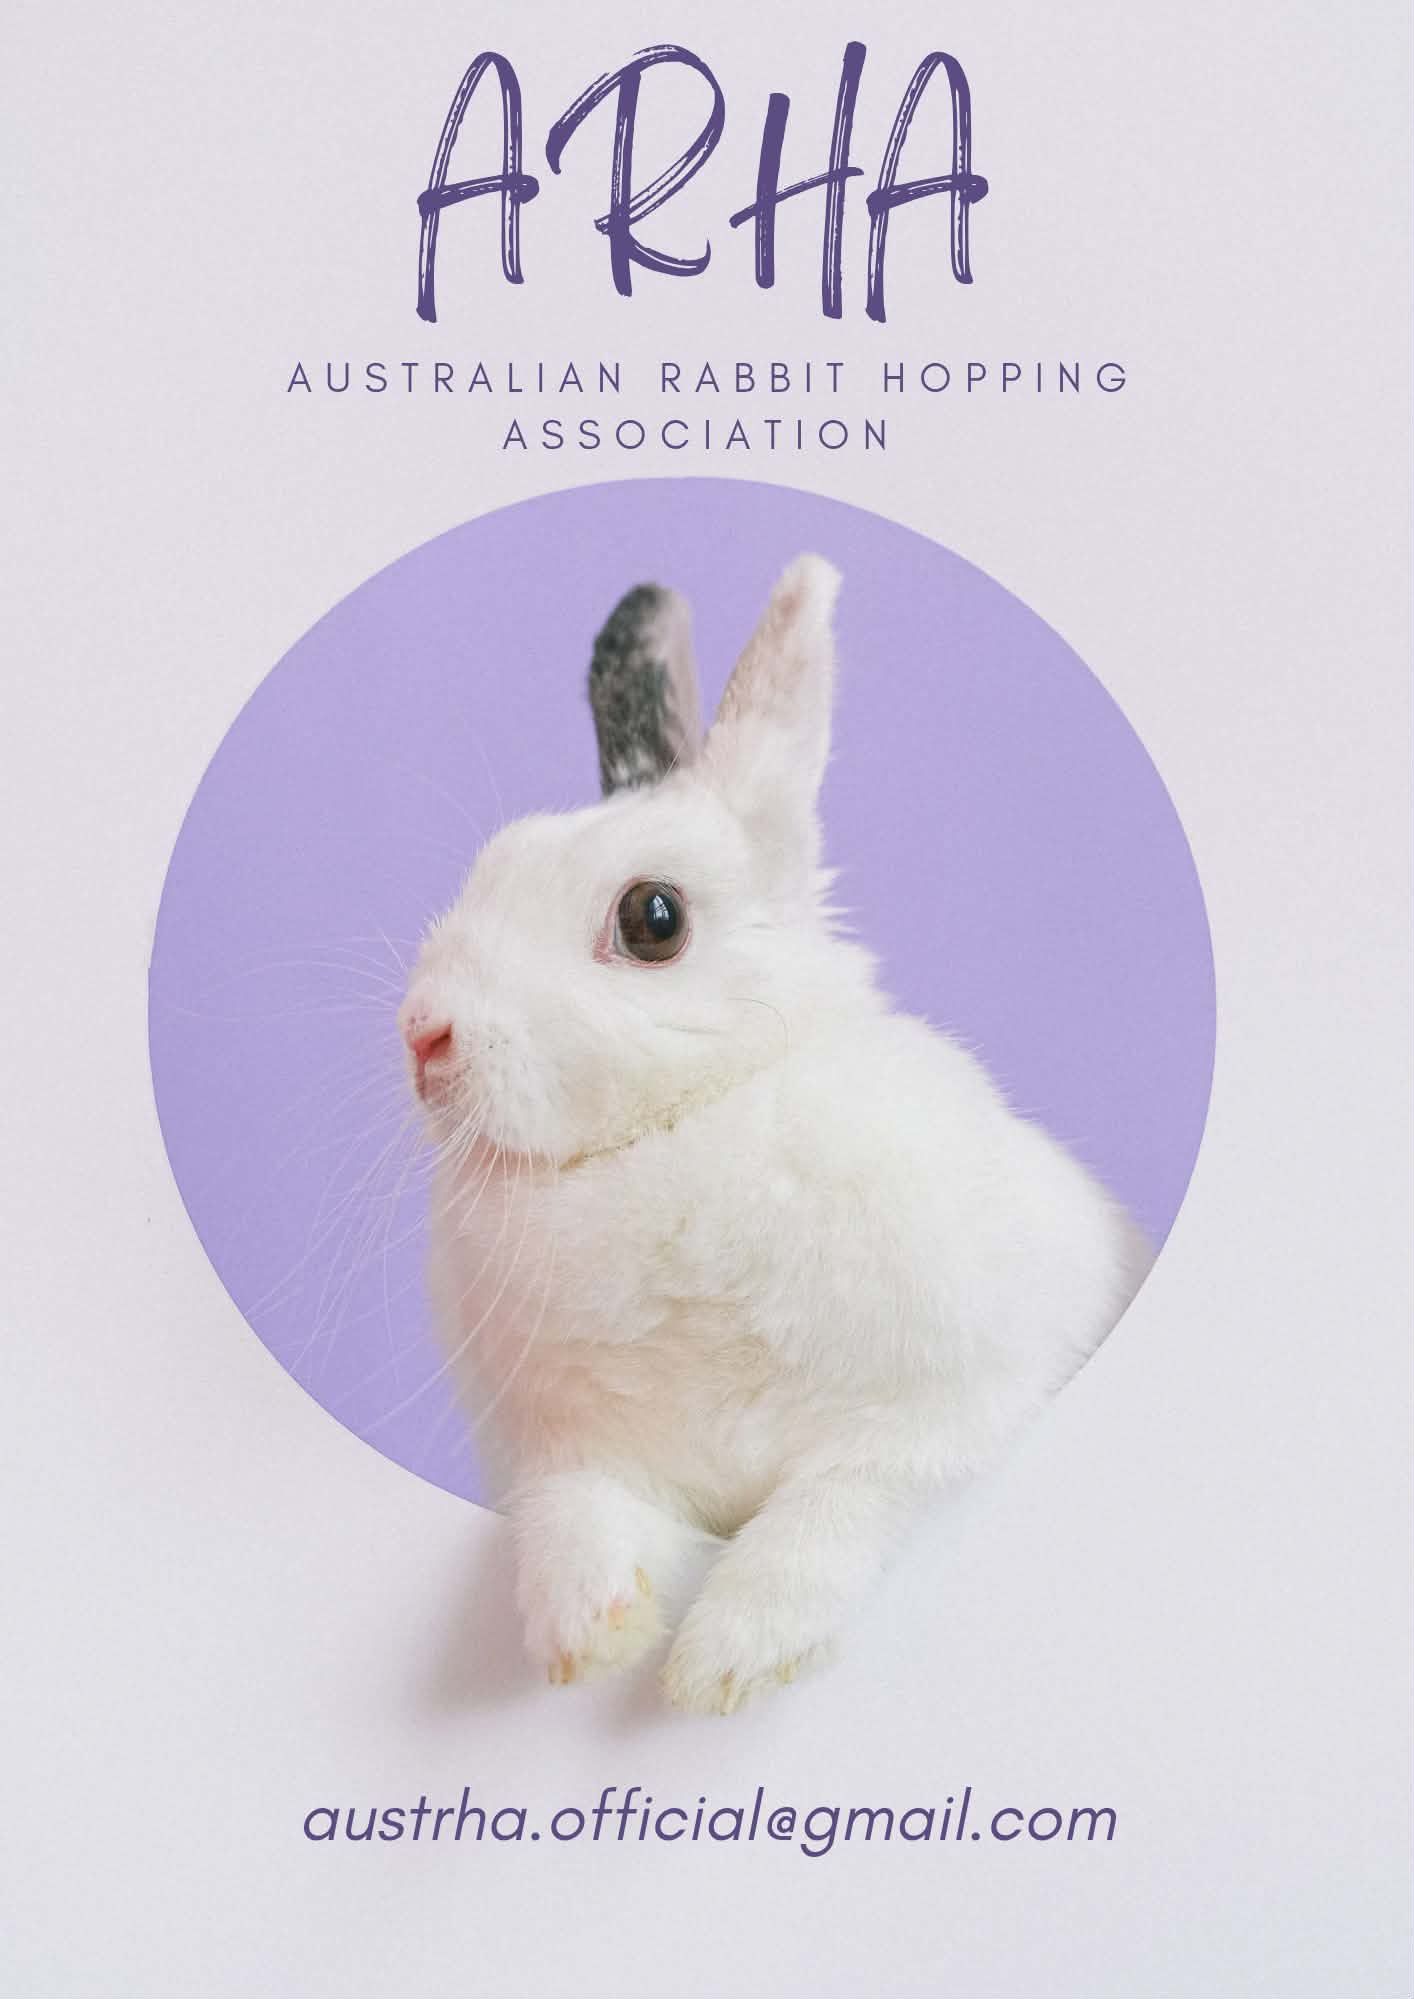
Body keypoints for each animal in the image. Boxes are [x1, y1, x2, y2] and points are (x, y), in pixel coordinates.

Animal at [399, 555, 1153, 1715]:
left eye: (653, 919)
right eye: (493, 864)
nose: (423, 1034)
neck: (680, 1128)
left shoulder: (954, 1408)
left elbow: (831, 1509)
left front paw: (729, 1658)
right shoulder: (567, 1451)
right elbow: (577, 1514)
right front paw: (586, 1634)